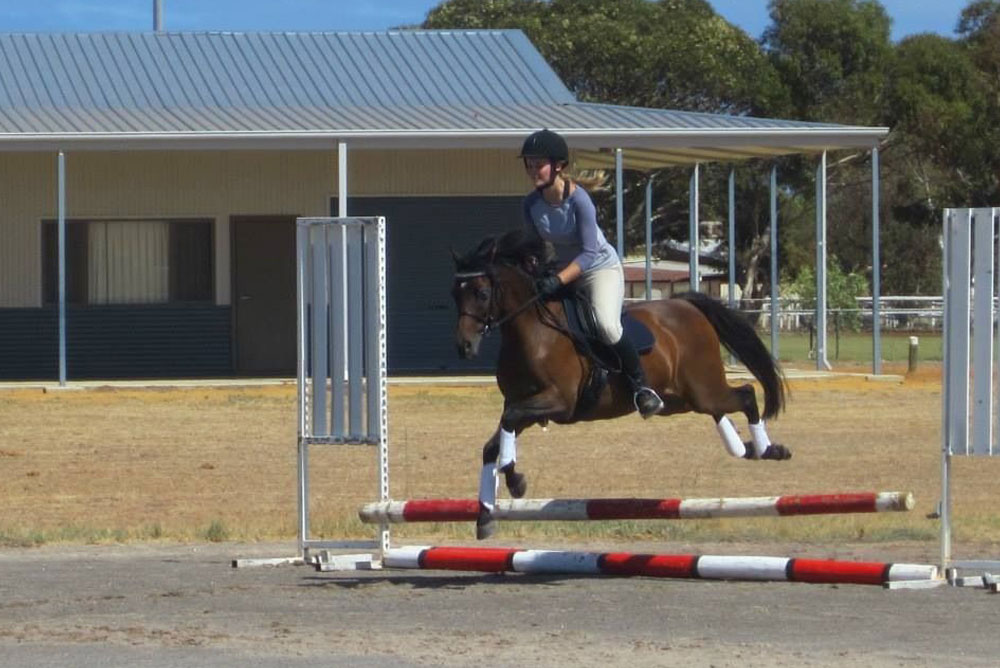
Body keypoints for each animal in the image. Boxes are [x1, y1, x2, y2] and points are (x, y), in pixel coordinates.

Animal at [451, 229, 789, 539]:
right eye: (456, 293)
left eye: (481, 293)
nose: (464, 347)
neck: (535, 333)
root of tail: (688, 307)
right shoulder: (524, 406)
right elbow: (493, 445)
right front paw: (486, 516)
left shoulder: (558, 402)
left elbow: (507, 426)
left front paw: (515, 481)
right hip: (680, 400)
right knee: (720, 411)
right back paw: (747, 448)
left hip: (704, 389)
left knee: (746, 395)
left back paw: (769, 449)